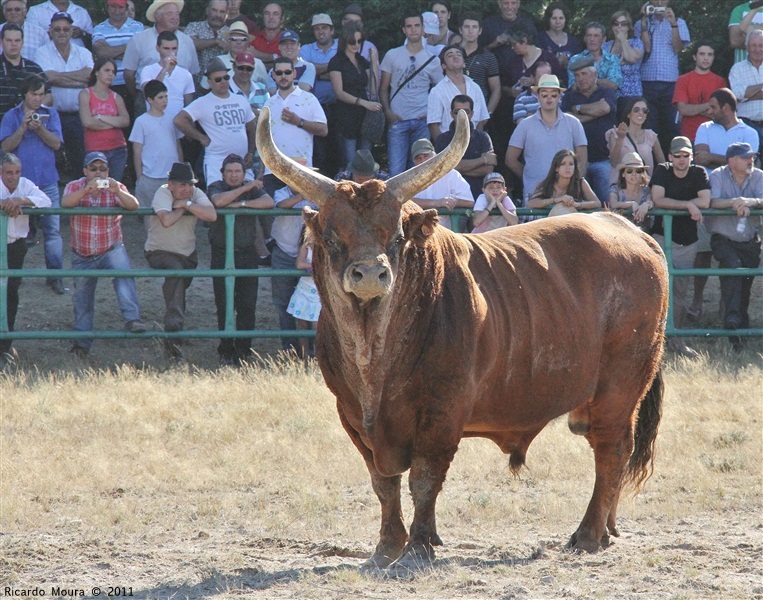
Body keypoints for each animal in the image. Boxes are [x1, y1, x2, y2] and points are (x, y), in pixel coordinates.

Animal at [256, 109, 668, 572]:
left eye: (395, 237)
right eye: (331, 238)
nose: (370, 274)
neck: (374, 355)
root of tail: (631, 231)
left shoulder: (443, 411)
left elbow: (423, 479)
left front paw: (418, 545)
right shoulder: (352, 415)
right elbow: (383, 482)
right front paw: (386, 546)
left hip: (620, 386)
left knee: (611, 448)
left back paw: (589, 533)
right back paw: (609, 528)